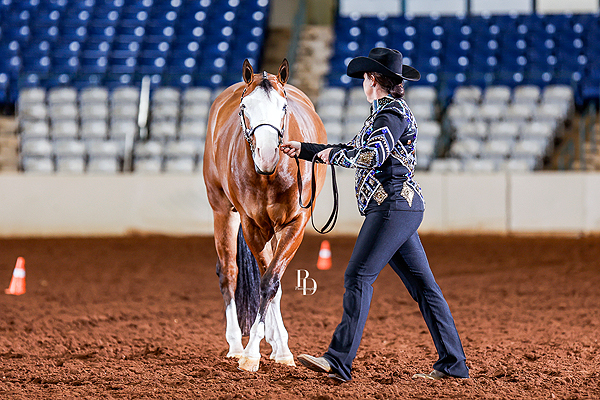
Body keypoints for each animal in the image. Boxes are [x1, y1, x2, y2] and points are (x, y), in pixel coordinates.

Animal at [203, 57, 328, 372]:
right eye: (244, 107)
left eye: (283, 107)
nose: (267, 153)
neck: (270, 175)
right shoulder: (252, 226)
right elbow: (263, 280)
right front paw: (250, 354)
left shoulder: (295, 224)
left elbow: (271, 282)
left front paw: (279, 349)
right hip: (222, 210)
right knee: (228, 273)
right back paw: (236, 344)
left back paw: (276, 343)